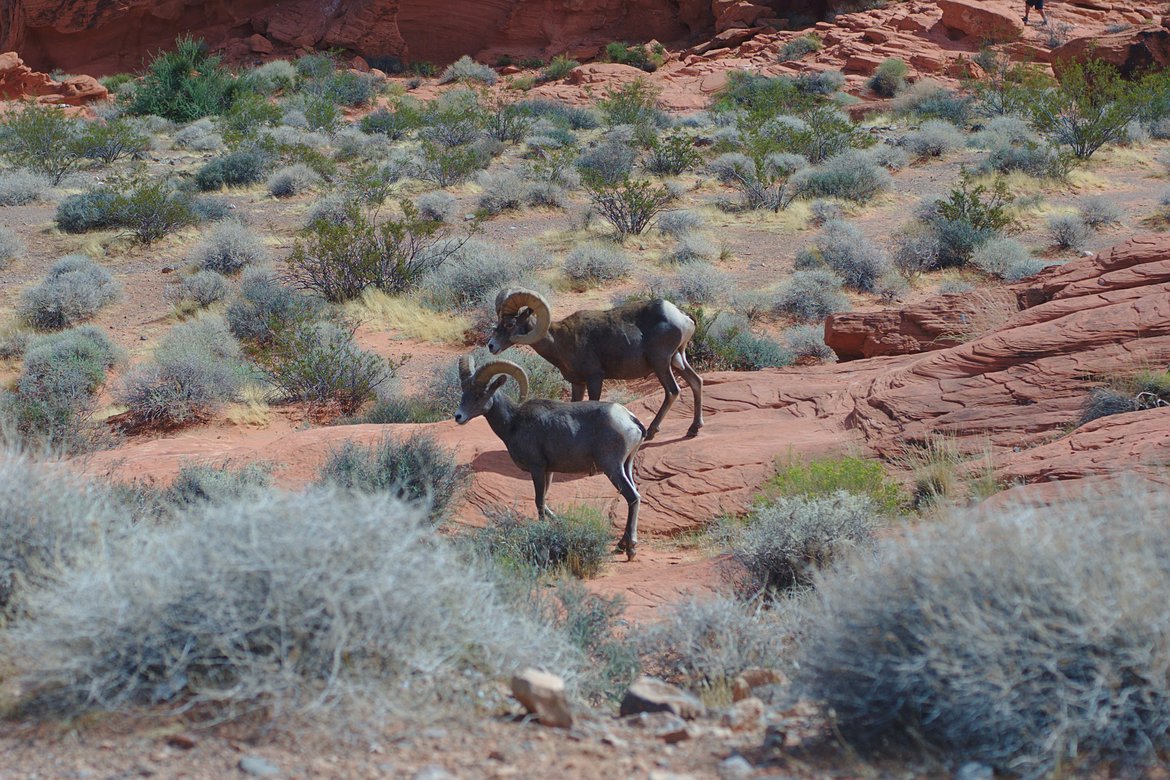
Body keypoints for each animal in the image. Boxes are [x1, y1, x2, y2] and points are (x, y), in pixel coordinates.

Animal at [451, 353, 645, 561]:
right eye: (463, 392)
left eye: (479, 394)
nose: (458, 417)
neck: (513, 423)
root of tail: (630, 419)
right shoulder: (549, 471)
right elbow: (544, 501)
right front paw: (558, 522)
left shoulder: (537, 468)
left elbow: (538, 502)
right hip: (626, 465)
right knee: (635, 494)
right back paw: (621, 545)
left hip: (612, 468)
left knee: (633, 497)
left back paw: (630, 550)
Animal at [486, 290, 702, 442]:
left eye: (510, 324)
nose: (491, 346)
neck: (560, 341)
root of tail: (682, 317)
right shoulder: (578, 383)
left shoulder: (595, 378)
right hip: (677, 360)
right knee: (696, 381)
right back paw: (693, 429)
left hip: (661, 364)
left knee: (672, 391)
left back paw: (650, 432)